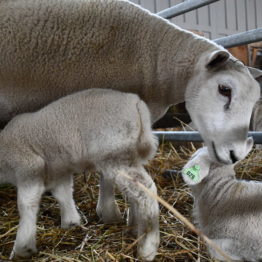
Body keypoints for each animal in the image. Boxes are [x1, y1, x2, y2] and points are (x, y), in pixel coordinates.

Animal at [0, 89, 160, 260]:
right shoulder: (58, 170)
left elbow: (26, 203)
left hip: (115, 153)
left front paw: (23, 248)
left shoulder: (28, 166)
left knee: (145, 190)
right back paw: (134, 229)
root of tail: (136, 103)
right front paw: (71, 222)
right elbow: (63, 193)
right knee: (134, 191)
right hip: (127, 155)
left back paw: (147, 248)